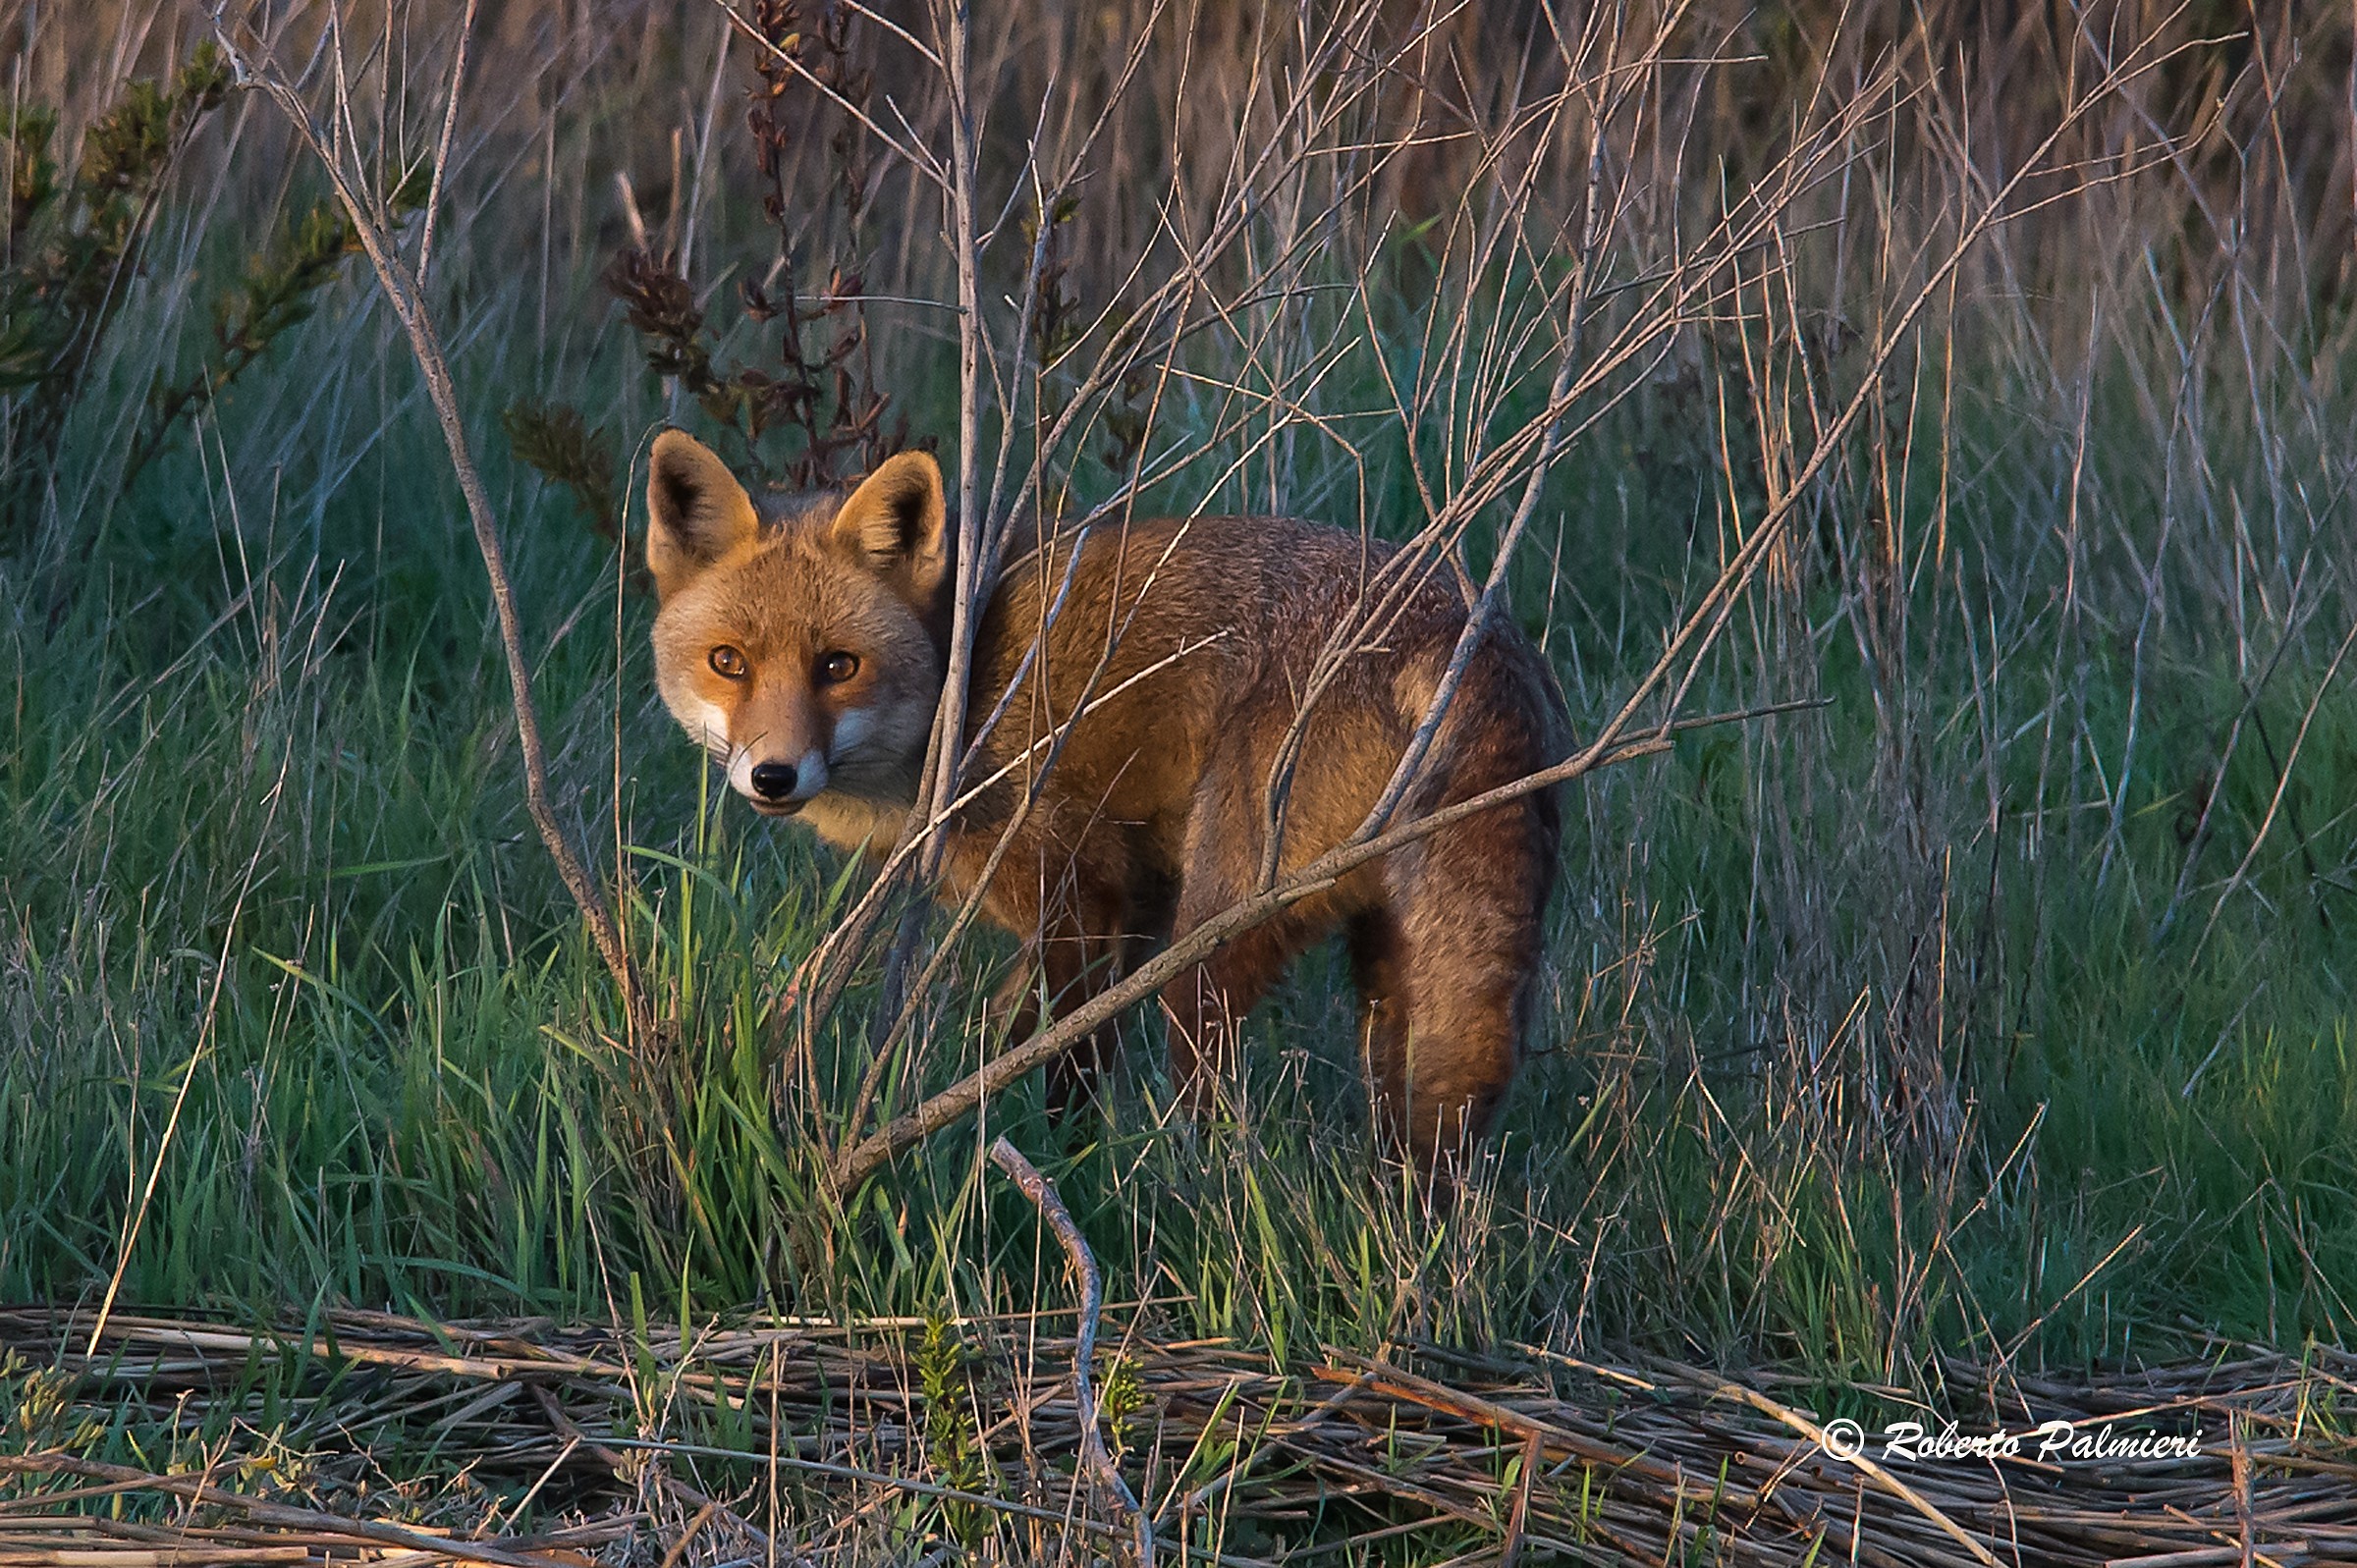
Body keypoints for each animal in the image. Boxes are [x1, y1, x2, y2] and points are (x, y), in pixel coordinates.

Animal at [644, 429, 1565, 1170]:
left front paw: (1056, 1157)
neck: (968, 684)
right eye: (729, 662)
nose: (774, 776)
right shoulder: (1136, 903)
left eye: (838, 665)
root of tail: (1463, 631)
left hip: (1213, 934)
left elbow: (1062, 1061)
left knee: (1210, 1090)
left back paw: (1181, 1187)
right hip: (1388, 960)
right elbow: (1023, 1033)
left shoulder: (1080, 895)